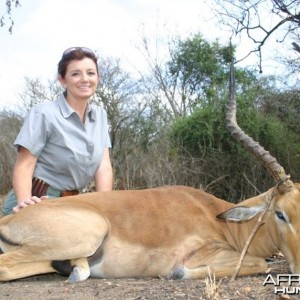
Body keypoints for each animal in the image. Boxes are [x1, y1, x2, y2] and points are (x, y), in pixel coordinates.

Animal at [1, 63, 298, 284]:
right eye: (280, 213)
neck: (223, 222)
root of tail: (9, 219)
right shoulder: (203, 253)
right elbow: (260, 263)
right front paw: (179, 273)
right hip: (87, 235)